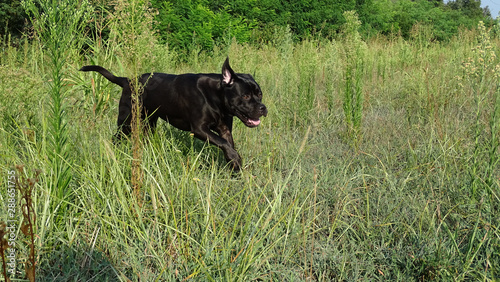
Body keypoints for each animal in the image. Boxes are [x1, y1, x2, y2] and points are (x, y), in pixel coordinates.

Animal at [79, 57, 266, 170]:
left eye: (260, 94)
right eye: (245, 95)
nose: (263, 108)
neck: (215, 95)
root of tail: (127, 80)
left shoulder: (224, 129)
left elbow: (228, 144)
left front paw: (234, 165)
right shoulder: (199, 129)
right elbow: (224, 143)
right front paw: (235, 158)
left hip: (149, 121)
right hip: (127, 121)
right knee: (116, 138)